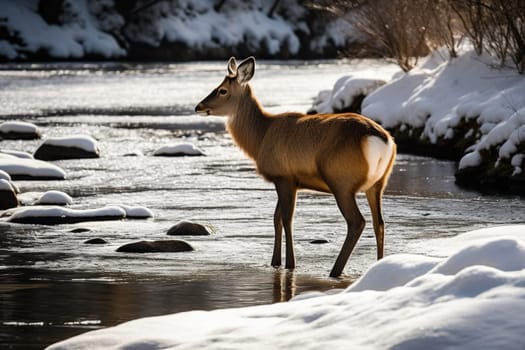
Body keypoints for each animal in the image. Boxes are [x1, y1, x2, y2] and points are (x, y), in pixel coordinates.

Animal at [194, 56, 396, 276]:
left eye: (222, 90)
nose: (198, 106)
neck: (260, 137)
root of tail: (383, 141)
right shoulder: (286, 179)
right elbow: (276, 218)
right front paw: (275, 262)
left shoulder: (284, 176)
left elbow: (286, 220)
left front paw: (290, 264)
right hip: (378, 184)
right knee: (379, 223)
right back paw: (379, 264)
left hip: (341, 181)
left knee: (357, 222)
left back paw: (335, 271)